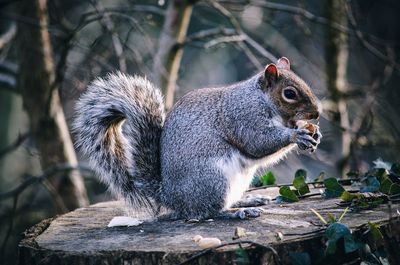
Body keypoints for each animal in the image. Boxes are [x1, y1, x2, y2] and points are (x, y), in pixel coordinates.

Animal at [72, 57, 322, 219]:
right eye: (289, 94)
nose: (317, 114)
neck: (261, 99)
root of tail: (169, 196)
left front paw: (314, 133)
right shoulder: (242, 117)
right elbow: (258, 143)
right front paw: (297, 135)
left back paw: (248, 200)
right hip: (212, 179)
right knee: (208, 211)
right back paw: (239, 211)